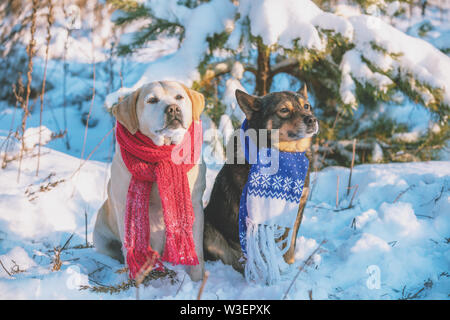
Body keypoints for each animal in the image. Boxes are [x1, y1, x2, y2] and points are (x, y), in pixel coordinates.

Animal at [202, 85, 318, 272]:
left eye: (306, 106)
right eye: (284, 110)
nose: (312, 119)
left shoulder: (296, 210)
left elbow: (289, 249)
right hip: (207, 227)